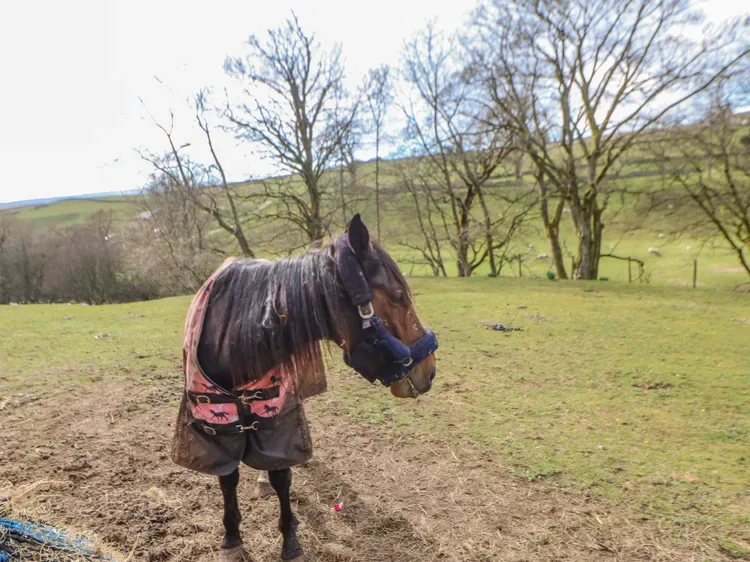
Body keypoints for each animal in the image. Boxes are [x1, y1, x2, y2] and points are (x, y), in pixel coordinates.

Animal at [171, 215, 438, 561]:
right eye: (398, 297)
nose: (430, 370)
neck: (231, 338)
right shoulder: (215, 428)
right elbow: (228, 477)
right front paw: (231, 535)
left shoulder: (278, 422)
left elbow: (281, 476)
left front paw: (289, 539)